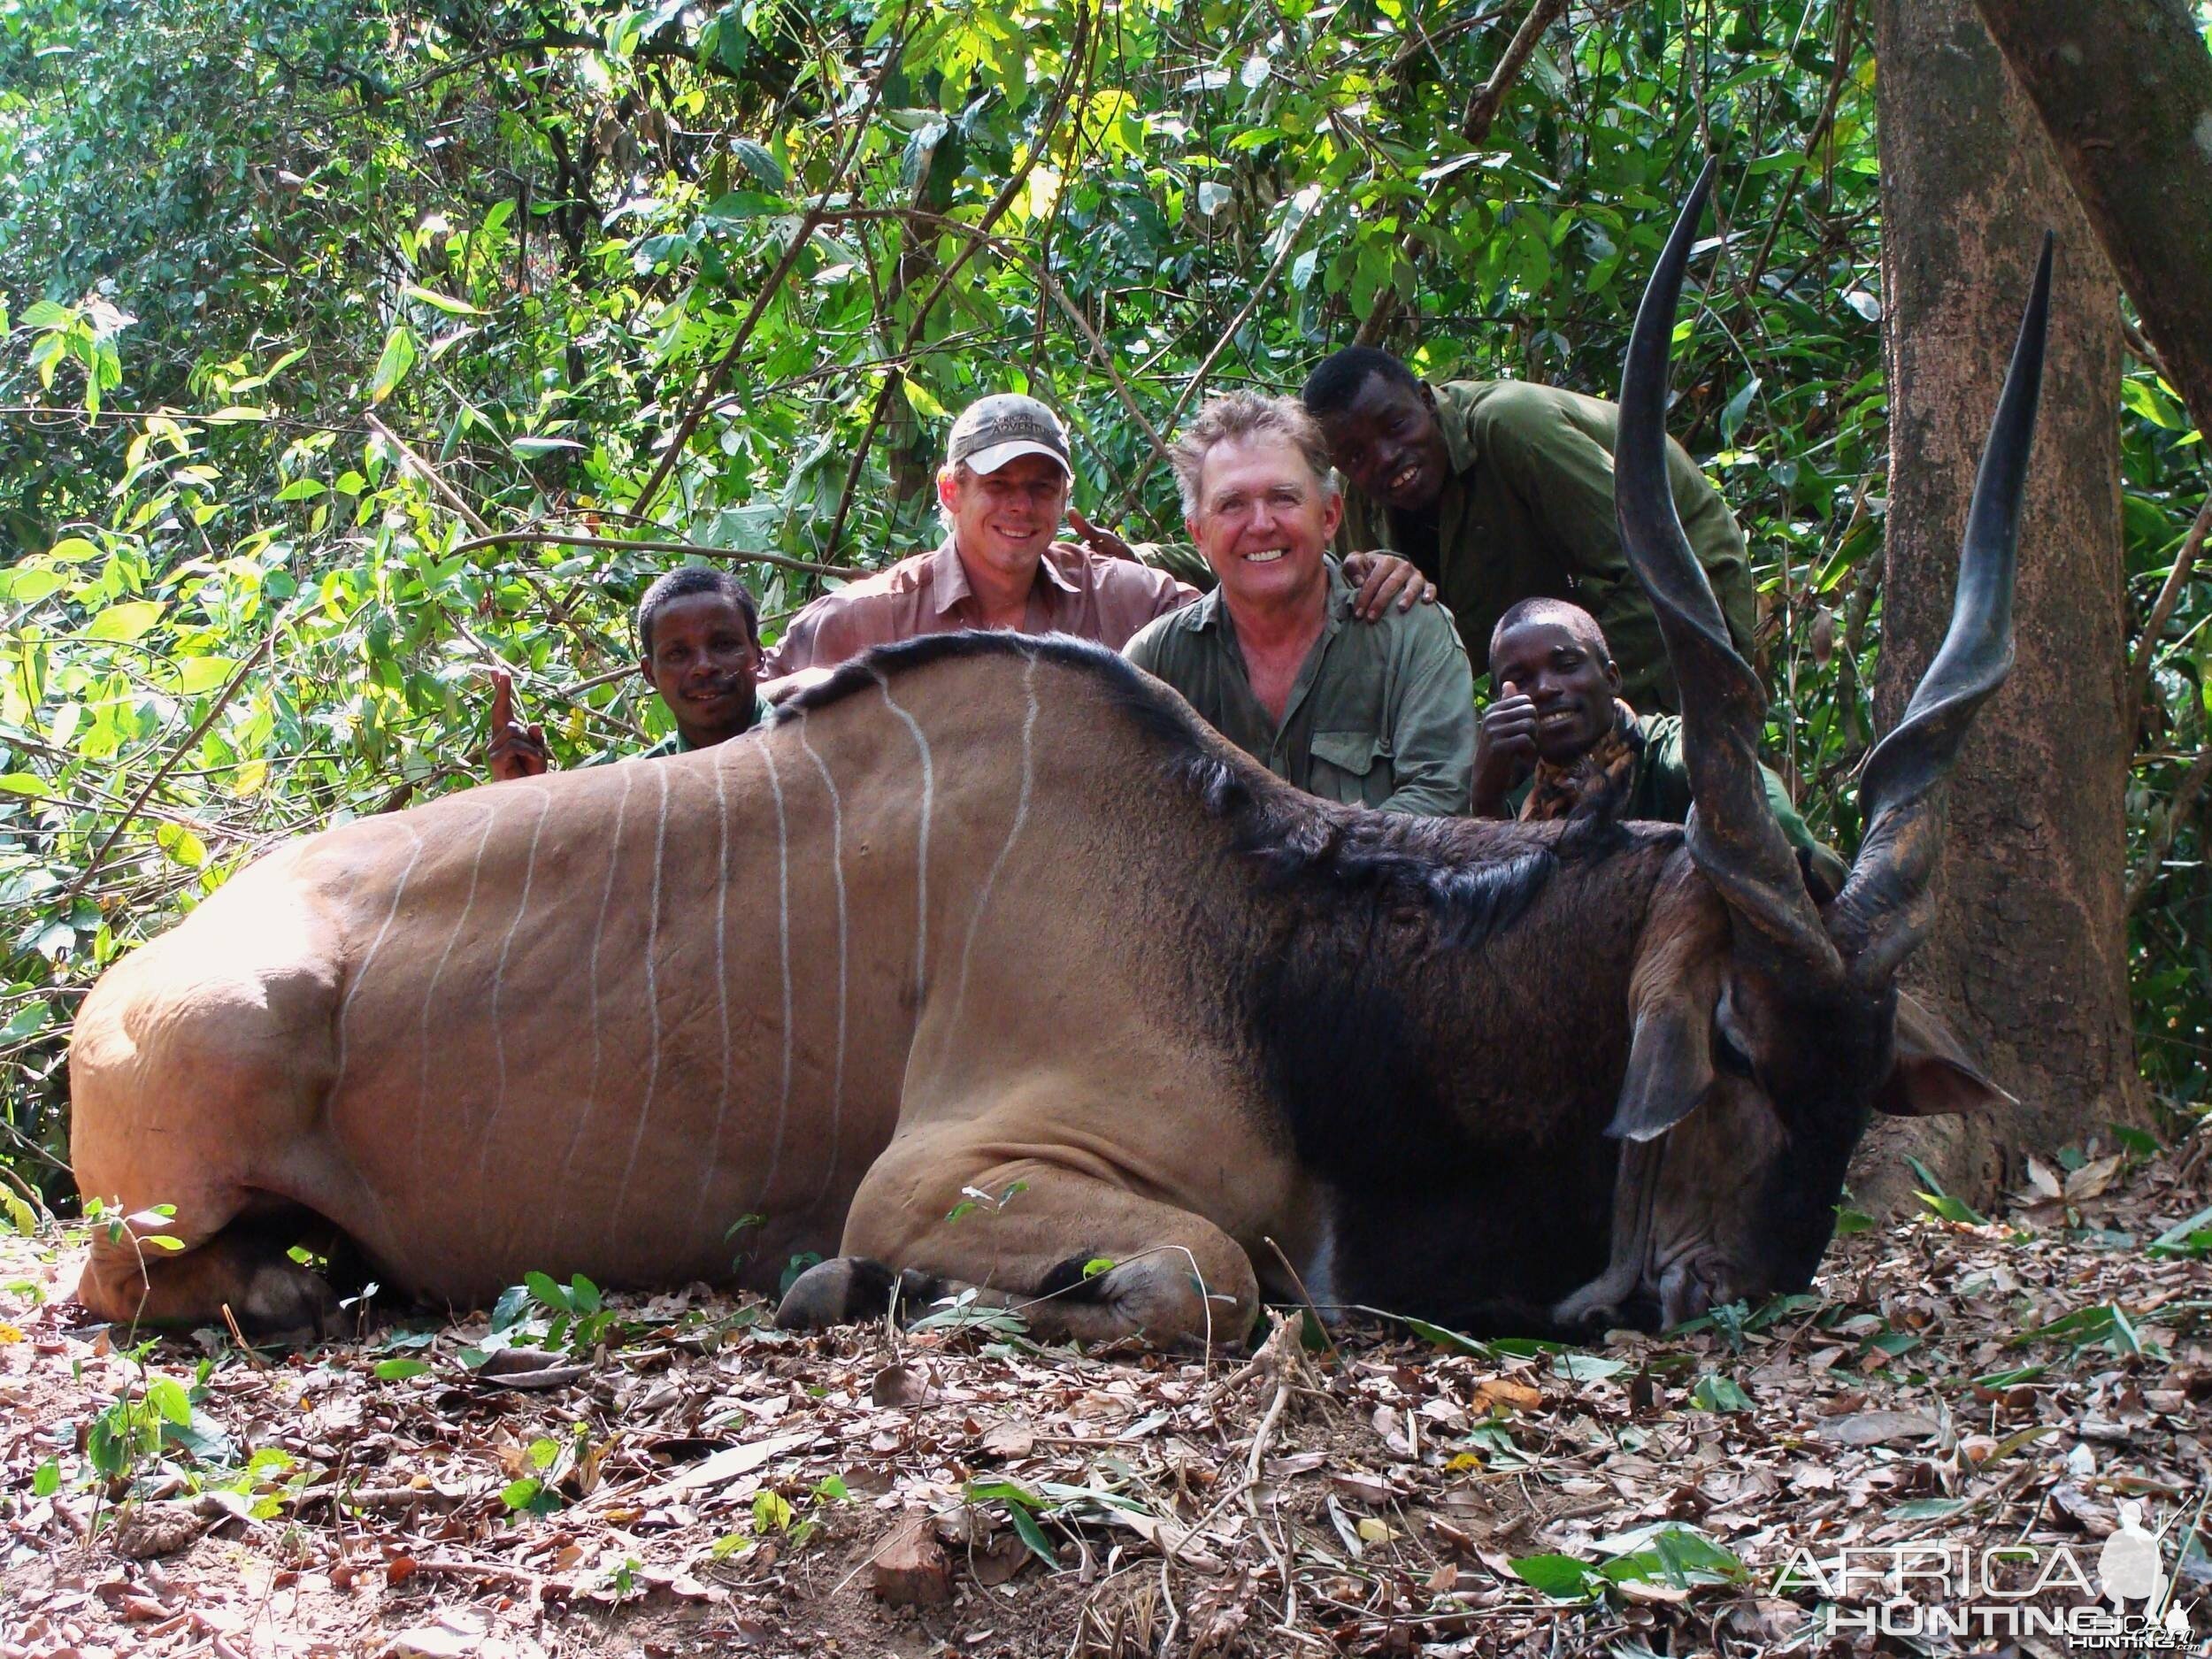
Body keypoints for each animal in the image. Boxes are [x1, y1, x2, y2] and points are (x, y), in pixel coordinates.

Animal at [65, 175, 2035, 1354]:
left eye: (1861, 1074)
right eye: (1730, 1040)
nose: (1736, 1291)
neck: (1269, 944)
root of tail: (126, 989)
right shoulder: (952, 1171)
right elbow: (1205, 1278)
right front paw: (867, 1294)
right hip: (184, 1145)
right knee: (133, 1284)